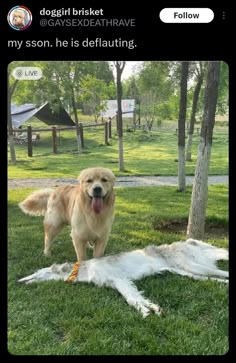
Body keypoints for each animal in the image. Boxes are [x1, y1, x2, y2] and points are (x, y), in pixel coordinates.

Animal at [18, 240, 229, 318]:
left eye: (39, 273)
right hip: (189, 272)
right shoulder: (119, 283)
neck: (84, 270)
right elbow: (135, 298)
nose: (20, 282)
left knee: (223, 273)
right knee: (215, 279)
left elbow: (131, 299)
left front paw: (145, 311)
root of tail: (187, 241)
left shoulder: (118, 279)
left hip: (193, 265)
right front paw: (151, 308)